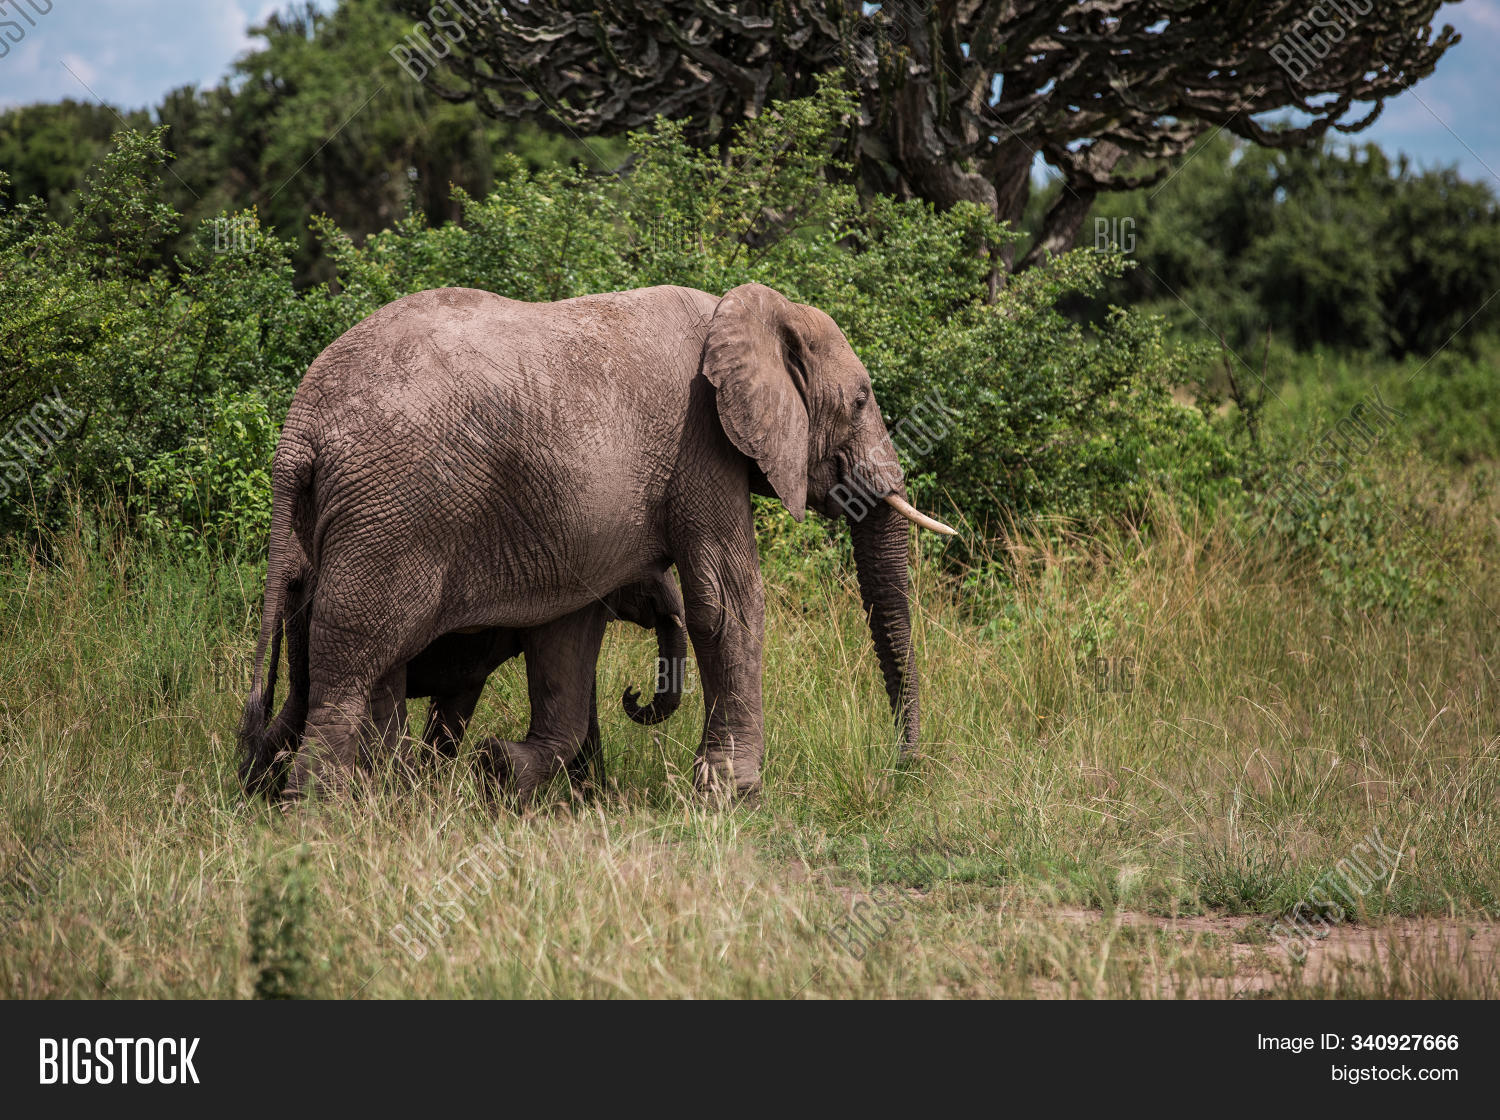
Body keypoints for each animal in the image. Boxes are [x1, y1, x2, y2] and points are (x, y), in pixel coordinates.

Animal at [237, 281, 956, 804]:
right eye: (862, 400)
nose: (906, 769)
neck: (749, 309)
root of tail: (301, 425)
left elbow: (569, 639)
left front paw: (503, 770)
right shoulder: (701, 444)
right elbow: (726, 602)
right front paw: (734, 797)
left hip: (340, 522)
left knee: (334, 657)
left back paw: (317, 788)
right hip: (395, 511)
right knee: (355, 653)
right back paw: (328, 811)